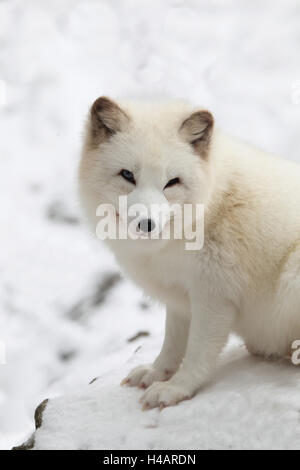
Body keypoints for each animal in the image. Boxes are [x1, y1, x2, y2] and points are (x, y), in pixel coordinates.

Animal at [78, 97, 300, 410]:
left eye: (172, 182)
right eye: (127, 175)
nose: (147, 224)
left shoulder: (214, 296)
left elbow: (198, 351)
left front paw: (176, 388)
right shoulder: (180, 296)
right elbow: (172, 343)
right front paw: (156, 373)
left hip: (292, 277)